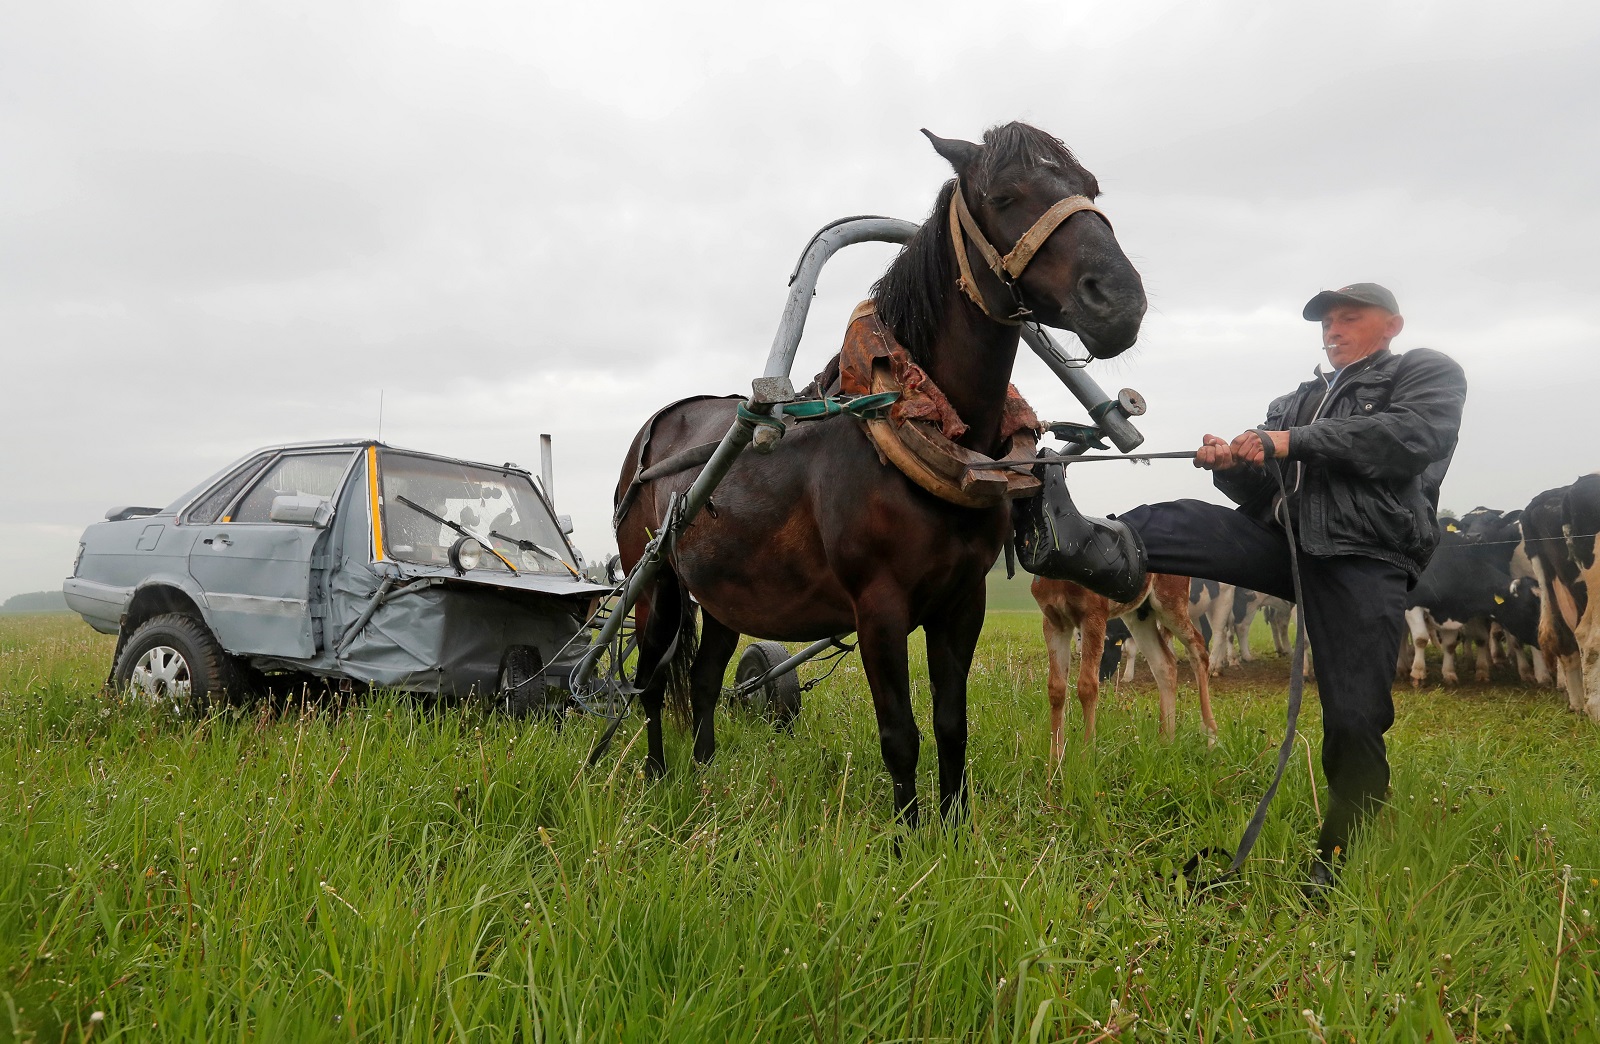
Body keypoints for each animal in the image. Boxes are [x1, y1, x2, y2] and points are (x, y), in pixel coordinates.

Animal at [611, 120, 1152, 826]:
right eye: (1004, 195)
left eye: (1090, 188)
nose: (1120, 300)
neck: (906, 424)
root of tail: (653, 436)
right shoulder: (879, 608)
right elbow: (900, 733)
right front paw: (906, 833)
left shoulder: (963, 601)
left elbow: (951, 724)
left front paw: (954, 827)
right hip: (654, 583)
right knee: (650, 681)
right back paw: (656, 774)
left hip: (723, 592)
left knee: (702, 680)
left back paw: (705, 777)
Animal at [1030, 570, 1216, 758]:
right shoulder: (1054, 622)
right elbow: (1056, 688)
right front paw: (1055, 760)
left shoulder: (1094, 615)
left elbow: (1087, 686)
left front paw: (1087, 756)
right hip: (1140, 616)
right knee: (1165, 663)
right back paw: (1166, 743)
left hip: (1170, 604)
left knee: (1198, 647)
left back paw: (1210, 737)